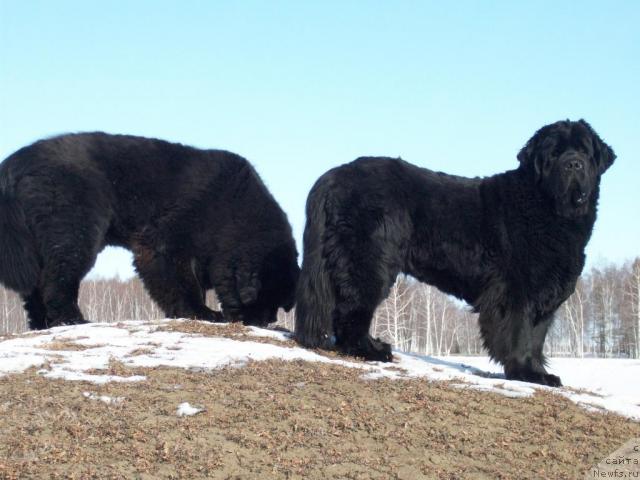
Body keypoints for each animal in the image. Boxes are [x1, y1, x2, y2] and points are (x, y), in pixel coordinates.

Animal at [0, 133, 300, 332]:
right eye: (265, 297)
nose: (267, 322)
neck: (231, 211)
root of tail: (12, 164)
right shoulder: (163, 245)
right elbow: (182, 285)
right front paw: (201, 313)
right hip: (75, 233)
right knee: (57, 281)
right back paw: (73, 319)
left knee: (36, 288)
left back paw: (43, 325)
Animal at [296, 120, 616, 386]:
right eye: (553, 154)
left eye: (584, 151)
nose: (573, 164)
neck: (546, 208)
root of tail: (333, 176)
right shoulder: (516, 290)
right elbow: (519, 334)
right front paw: (524, 373)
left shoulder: (544, 295)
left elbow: (536, 339)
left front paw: (538, 373)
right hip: (369, 260)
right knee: (352, 310)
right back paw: (371, 349)